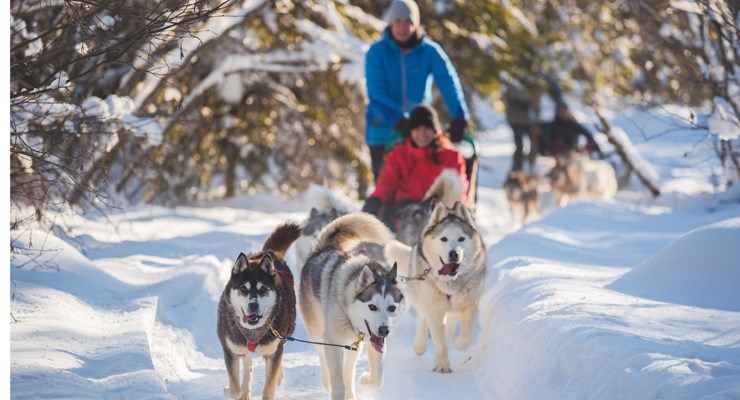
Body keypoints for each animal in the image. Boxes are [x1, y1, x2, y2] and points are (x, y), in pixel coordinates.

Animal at [215, 222, 302, 400]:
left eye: (263, 289)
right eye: (243, 288)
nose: (253, 305)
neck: (253, 332)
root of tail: (270, 253)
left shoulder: (274, 351)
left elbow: (269, 388)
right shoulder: (231, 350)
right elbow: (235, 388)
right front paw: (235, 391)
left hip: (285, 333)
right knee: (247, 362)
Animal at [300, 214, 404, 398]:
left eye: (391, 308)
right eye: (372, 307)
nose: (384, 330)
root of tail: (324, 249)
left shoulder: (373, 342)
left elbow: (377, 379)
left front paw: (365, 380)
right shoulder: (332, 342)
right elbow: (337, 381)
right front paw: (336, 390)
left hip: (353, 347)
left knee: (349, 370)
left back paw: (351, 393)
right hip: (317, 332)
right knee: (322, 355)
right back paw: (327, 382)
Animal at [384, 202, 488, 374]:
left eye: (461, 238)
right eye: (444, 239)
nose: (453, 254)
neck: (450, 282)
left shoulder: (471, 304)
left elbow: (466, 337)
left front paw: (458, 343)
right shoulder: (433, 308)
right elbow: (438, 339)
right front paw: (442, 365)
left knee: (449, 325)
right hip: (421, 296)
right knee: (422, 316)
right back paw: (420, 345)